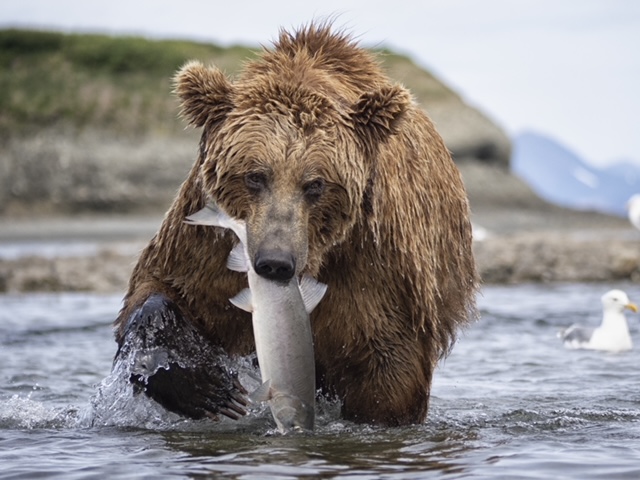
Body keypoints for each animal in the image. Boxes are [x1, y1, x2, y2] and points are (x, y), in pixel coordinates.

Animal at [113, 23, 479, 427]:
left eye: (315, 184)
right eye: (255, 176)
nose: (275, 262)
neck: (315, 258)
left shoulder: (376, 264)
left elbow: (385, 370)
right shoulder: (205, 244)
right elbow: (161, 288)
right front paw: (207, 387)